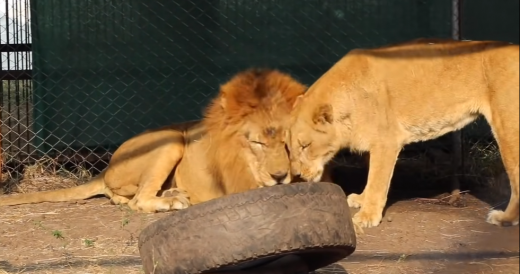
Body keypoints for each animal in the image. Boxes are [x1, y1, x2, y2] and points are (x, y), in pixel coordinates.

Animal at [0, 68, 304, 212]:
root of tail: (107, 167)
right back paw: (171, 201)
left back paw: (172, 194)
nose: (279, 176)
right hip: (169, 139)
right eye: (258, 143)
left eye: (286, 143)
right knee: (137, 200)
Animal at [286, 38, 516, 230]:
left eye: (305, 146)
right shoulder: (374, 144)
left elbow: (377, 181)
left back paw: (505, 218)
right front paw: (361, 199)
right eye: (289, 148)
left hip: (507, 128)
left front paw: (367, 216)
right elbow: (371, 176)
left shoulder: (386, 142)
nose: (297, 175)